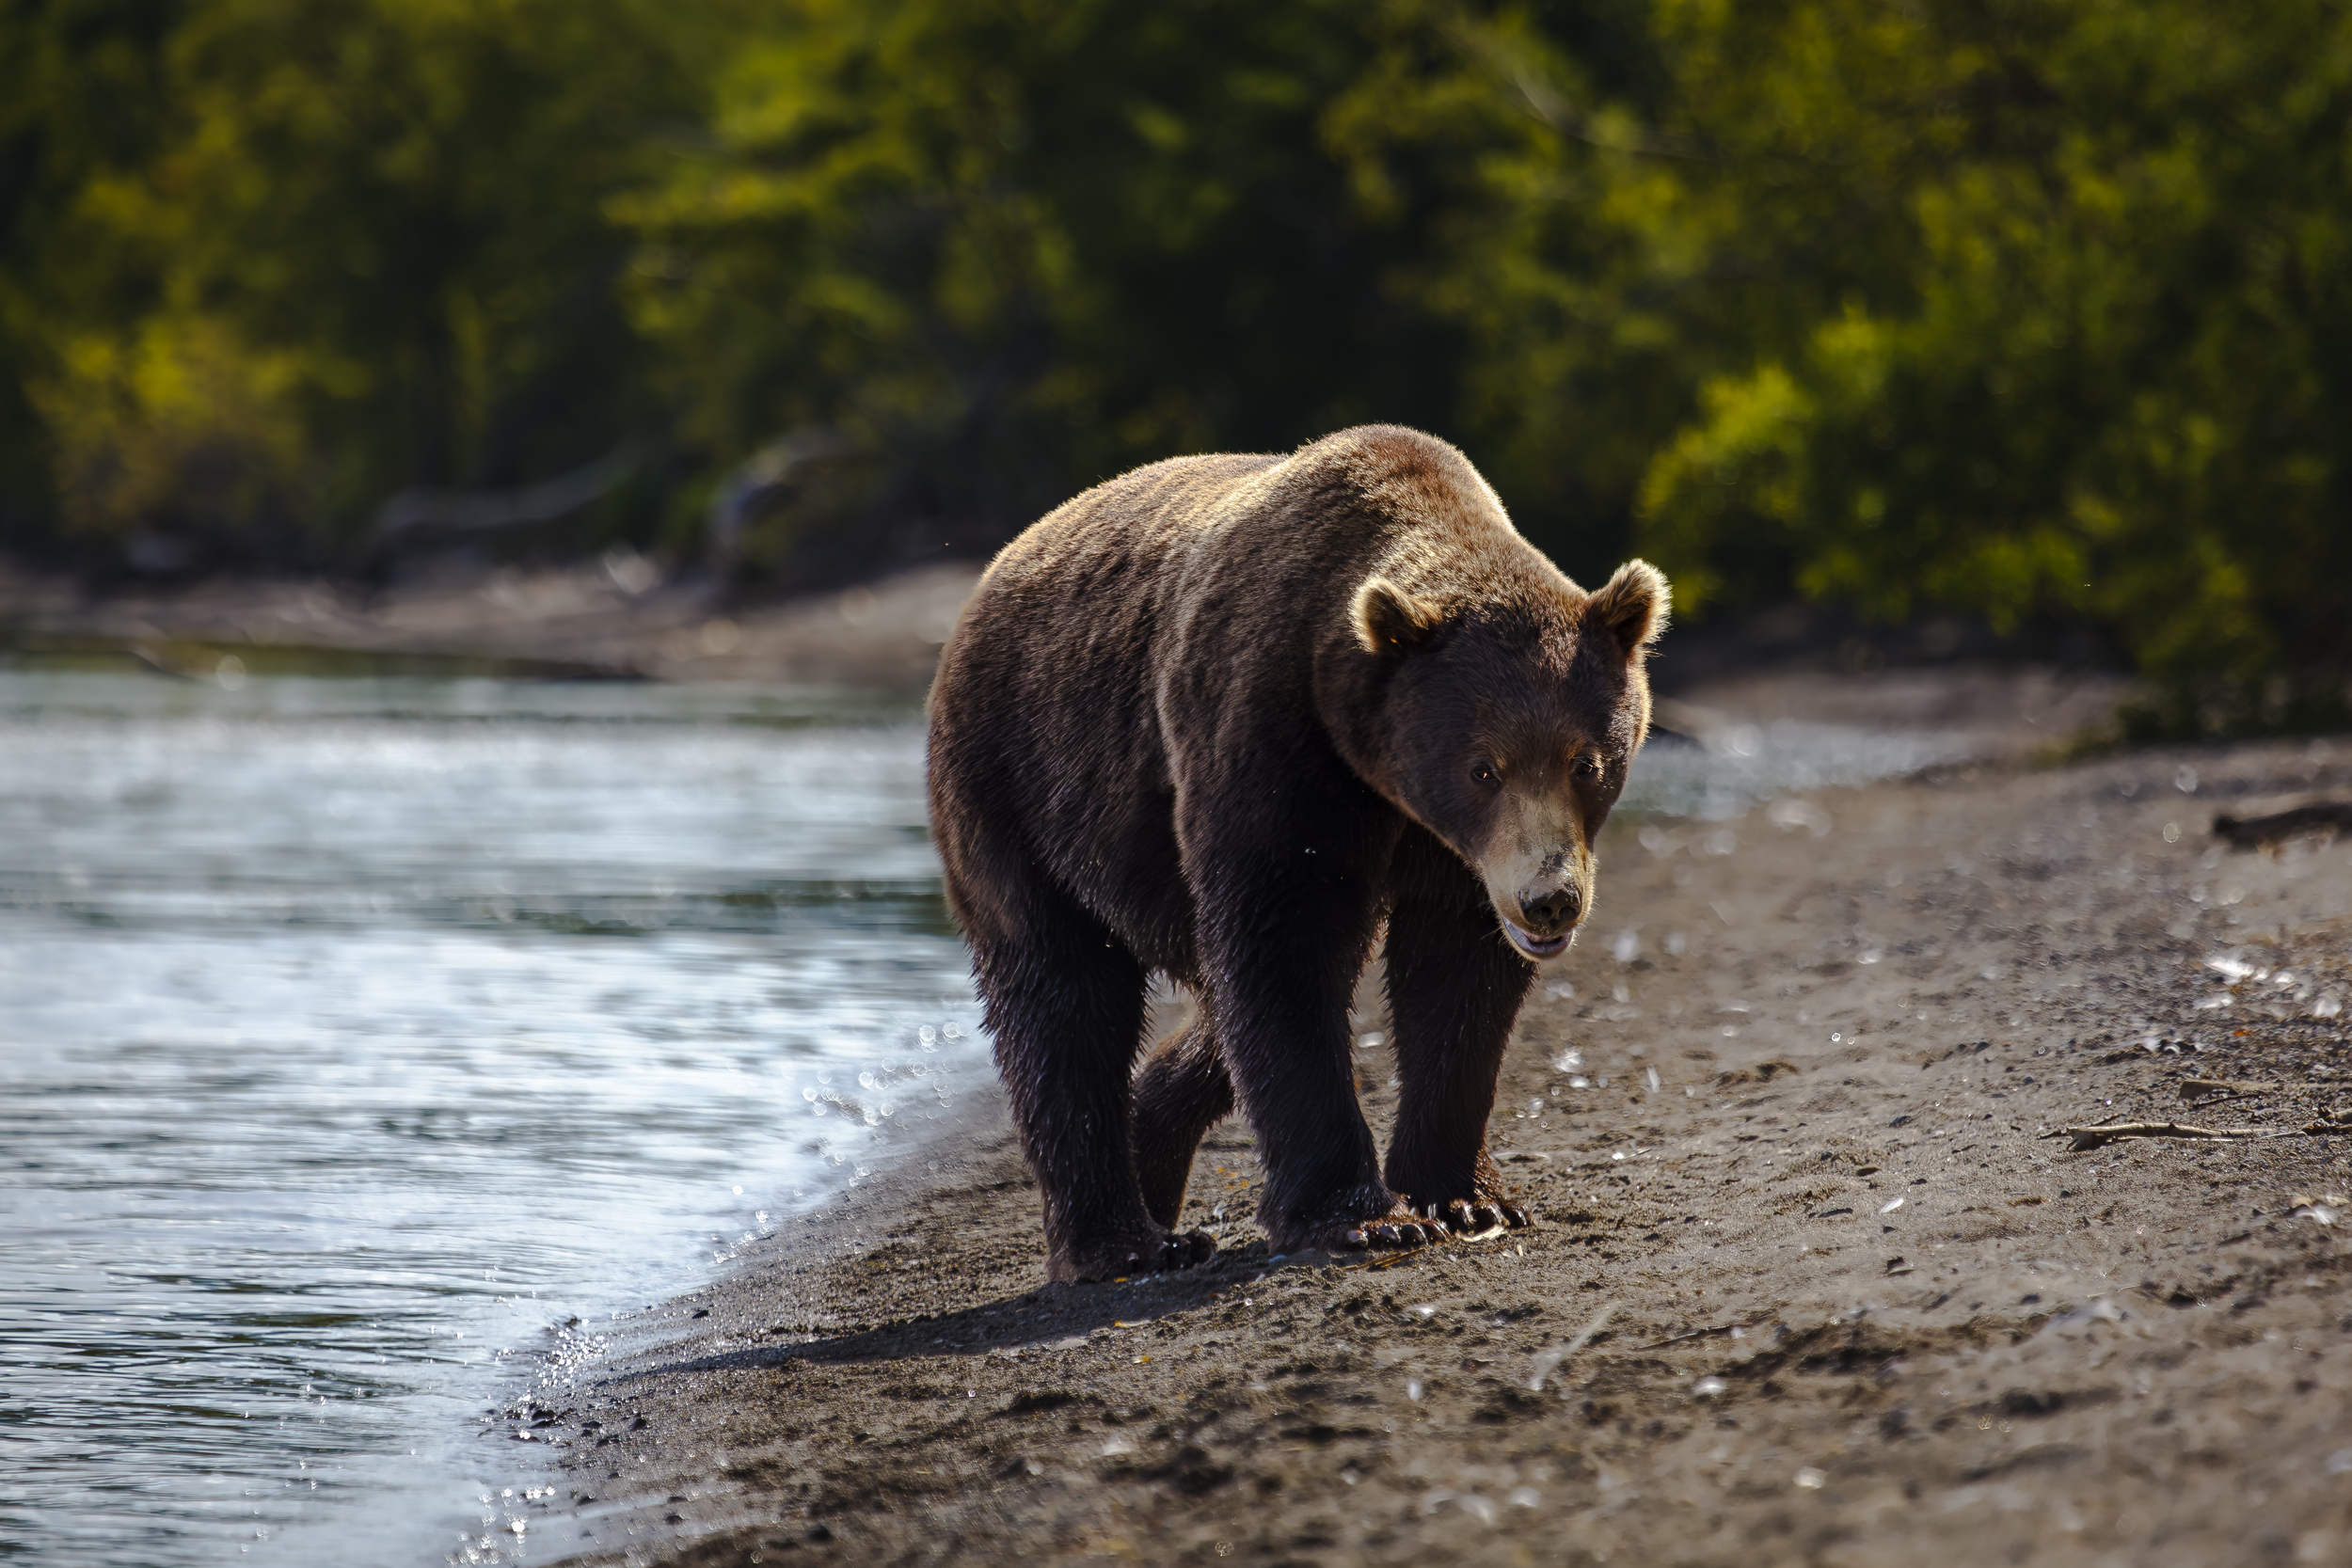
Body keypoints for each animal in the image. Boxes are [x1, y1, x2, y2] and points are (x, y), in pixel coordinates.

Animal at [927, 422, 1665, 1278]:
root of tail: (997, 570)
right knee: (1063, 999)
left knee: (1205, 1016)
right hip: (1021, 789)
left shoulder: (1454, 856)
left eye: (1588, 761)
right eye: (1484, 767)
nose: (1548, 899)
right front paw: (1366, 1217)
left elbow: (1456, 980)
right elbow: (1284, 950)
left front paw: (1465, 1198)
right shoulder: (1274, 751)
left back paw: (1154, 1151)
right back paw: (1122, 1242)